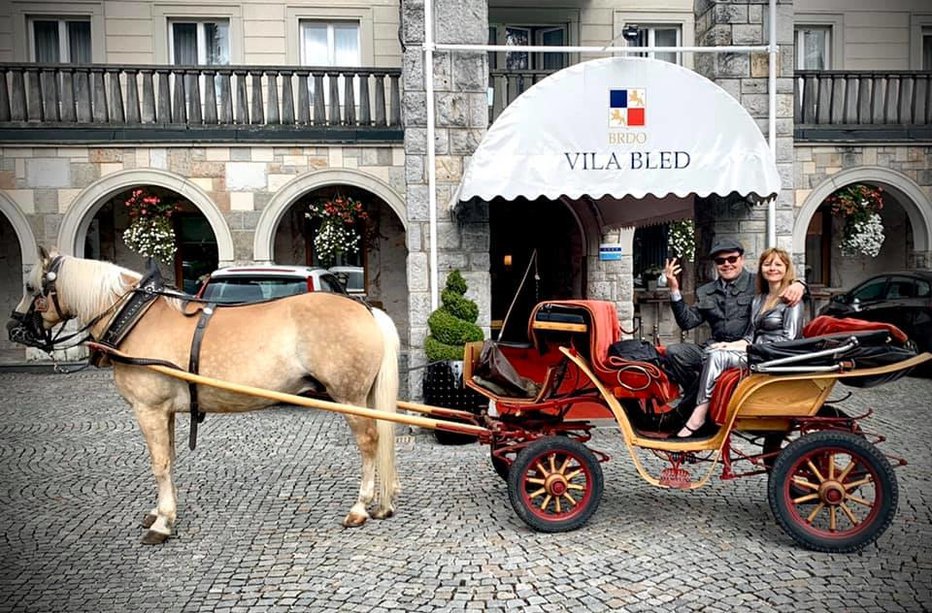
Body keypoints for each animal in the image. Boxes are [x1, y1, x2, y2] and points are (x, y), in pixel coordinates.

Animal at [7, 246, 400, 544]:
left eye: (31, 286)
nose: (13, 328)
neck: (134, 318)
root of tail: (365, 309)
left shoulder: (148, 410)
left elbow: (159, 464)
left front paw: (163, 523)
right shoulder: (165, 412)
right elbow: (169, 459)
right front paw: (161, 510)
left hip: (349, 397)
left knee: (368, 442)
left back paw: (360, 507)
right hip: (364, 397)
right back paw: (384, 502)